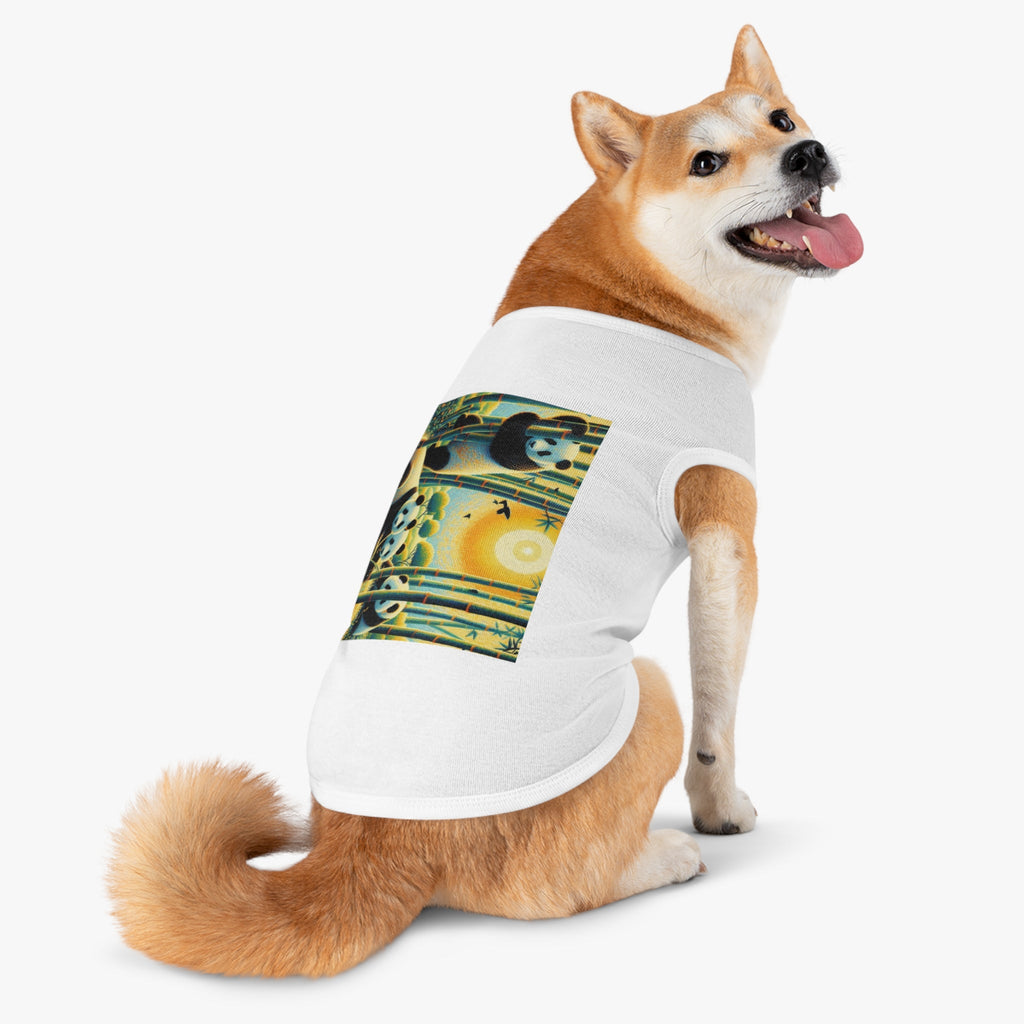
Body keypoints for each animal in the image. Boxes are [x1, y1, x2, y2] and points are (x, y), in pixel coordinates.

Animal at [423, 411, 587, 477]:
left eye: (544, 453)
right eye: (550, 440)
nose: (533, 444)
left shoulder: (529, 463)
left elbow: (501, 451)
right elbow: (558, 419)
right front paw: (580, 428)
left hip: (450, 460)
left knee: (438, 459)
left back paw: (431, 450)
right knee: (471, 422)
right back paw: (464, 419)